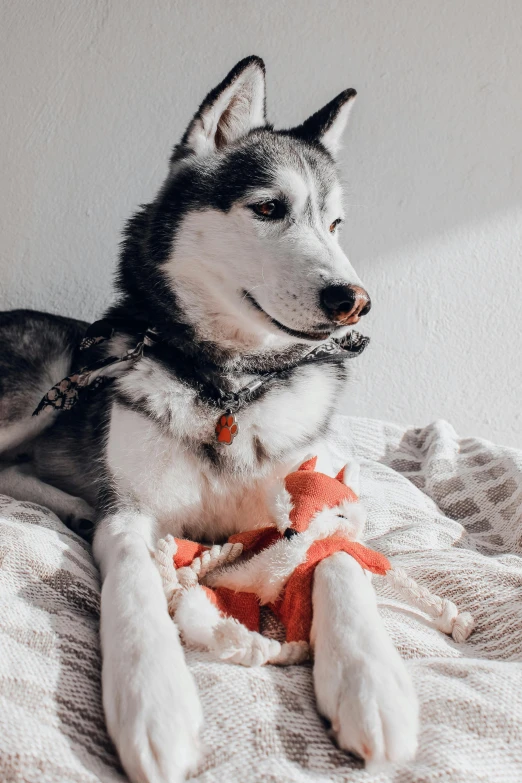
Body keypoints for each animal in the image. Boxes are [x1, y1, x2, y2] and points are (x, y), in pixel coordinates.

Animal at [0, 58, 414, 780]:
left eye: (336, 224)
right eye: (269, 207)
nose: (355, 301)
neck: (229, 391)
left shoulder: (316, 495)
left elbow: (336, 558)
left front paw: (372, 683)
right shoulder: (131, 512)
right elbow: (133, 585)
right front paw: (153, 700)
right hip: (41, 383)